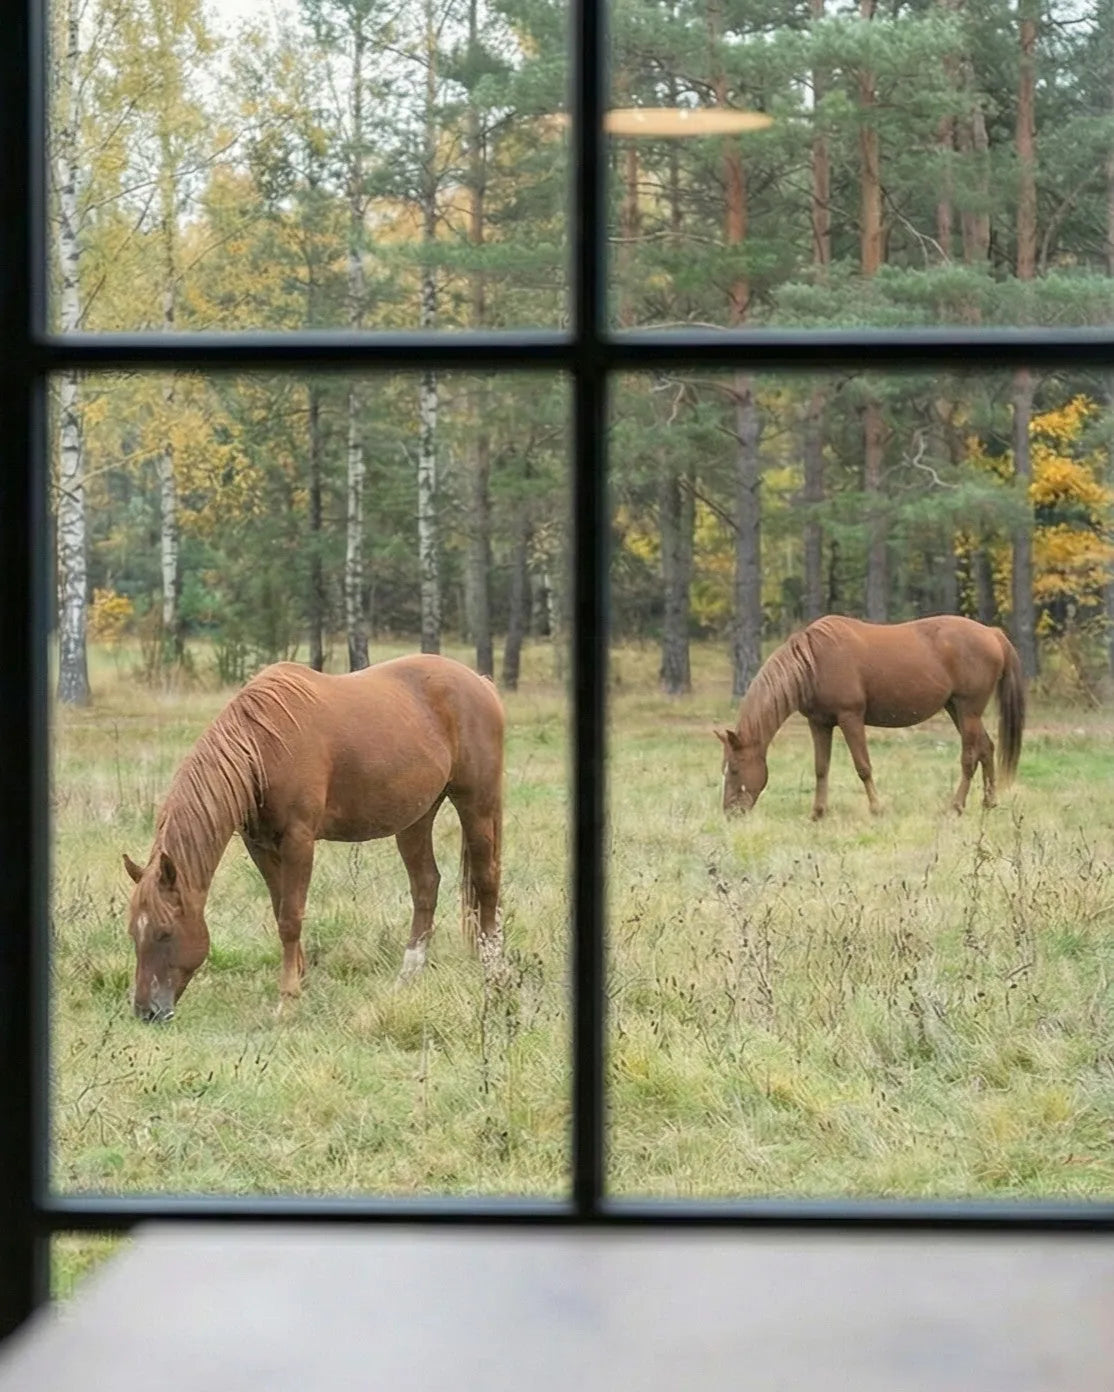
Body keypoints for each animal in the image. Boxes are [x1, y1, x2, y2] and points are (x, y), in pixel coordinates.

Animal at [123, 654, 504, 1021]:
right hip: (417, 817)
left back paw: (491, 965)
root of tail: (482, 683)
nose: (146, 1012)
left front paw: (287, 1001)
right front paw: (300, 980)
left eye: (164, 932)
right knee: (426, 885)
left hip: (476, 804)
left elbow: (291, 917)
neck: (263, 747)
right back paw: (408, 976)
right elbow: (279, 909)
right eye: (133, 933)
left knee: (486, 878)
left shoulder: (299, 841)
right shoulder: (260, 845)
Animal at [715, 615, 1025, 820]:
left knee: (970, 757)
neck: (814, 662)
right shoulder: (820, 723)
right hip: (956, 709)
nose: (730, 812)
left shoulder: (850, 717)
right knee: (987, 748)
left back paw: (956, 806)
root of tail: (993, 633)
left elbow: (863, 766)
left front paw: (877, 808)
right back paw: (989, 802)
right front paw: (818, 813)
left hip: (968, 709)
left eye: (734, 768)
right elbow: (821, 768)